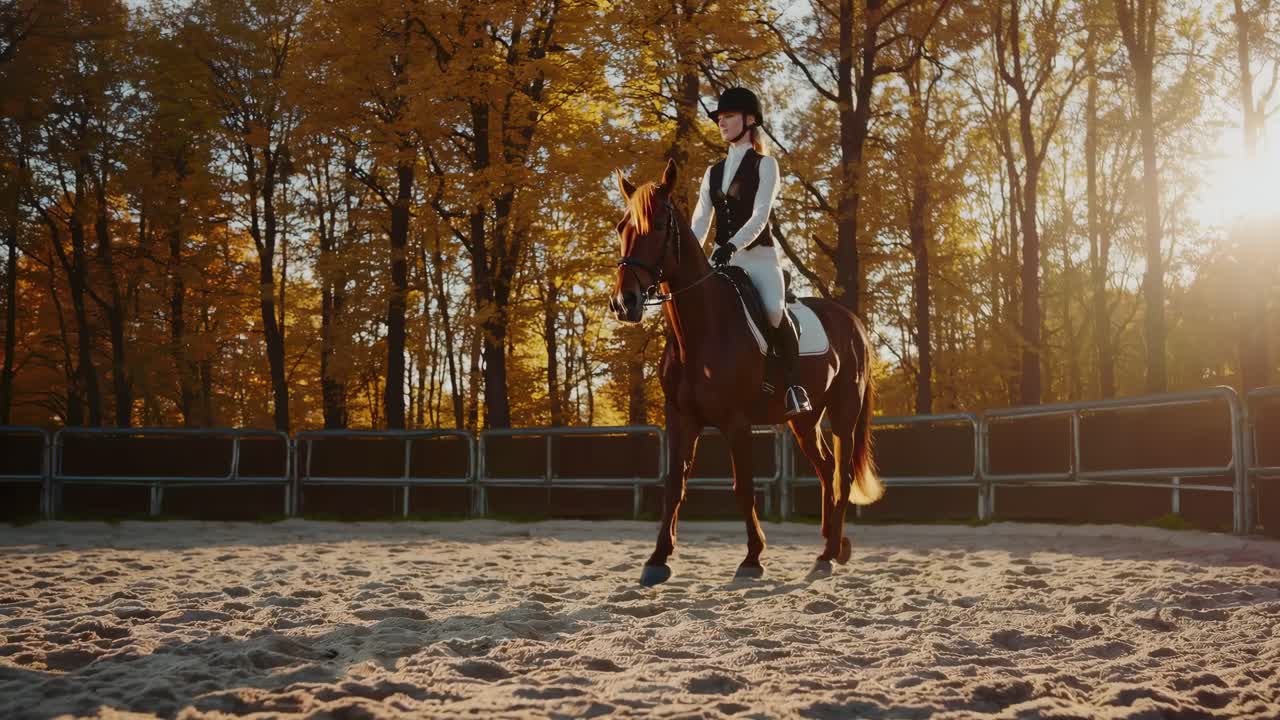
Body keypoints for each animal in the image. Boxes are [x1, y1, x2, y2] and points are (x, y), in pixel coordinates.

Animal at [609, 159, 883, 586]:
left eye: (657, 226)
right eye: (622, 227)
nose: (625, 302)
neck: (701, 329)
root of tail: (852, 320)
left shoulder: (736, 422)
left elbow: (743, 487)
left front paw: (752, 558)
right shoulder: (681, 418)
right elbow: (674, 485)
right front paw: (657, 559)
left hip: (843, 413)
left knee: (841, 476)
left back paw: (827, 554)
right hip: (803, 420)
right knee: (826, 471)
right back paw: (833, 546)